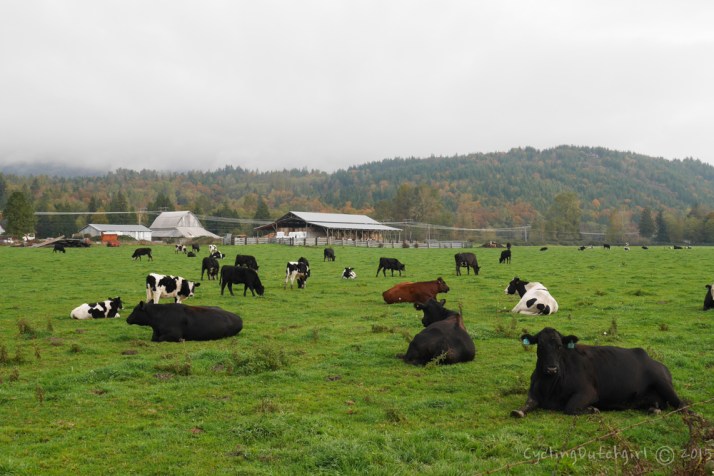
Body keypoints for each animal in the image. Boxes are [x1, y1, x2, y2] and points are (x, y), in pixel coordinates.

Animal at [511, 327, 683, 417]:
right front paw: (518, 411)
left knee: (682, 404)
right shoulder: (533, 393)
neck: (549, 386)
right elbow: (526, 405)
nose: (551, 368)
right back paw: (653, 409)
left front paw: (592, 409)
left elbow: (570, 407)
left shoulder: (588, 392)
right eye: (540, 345)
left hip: (663, 383)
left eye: (559, 346)